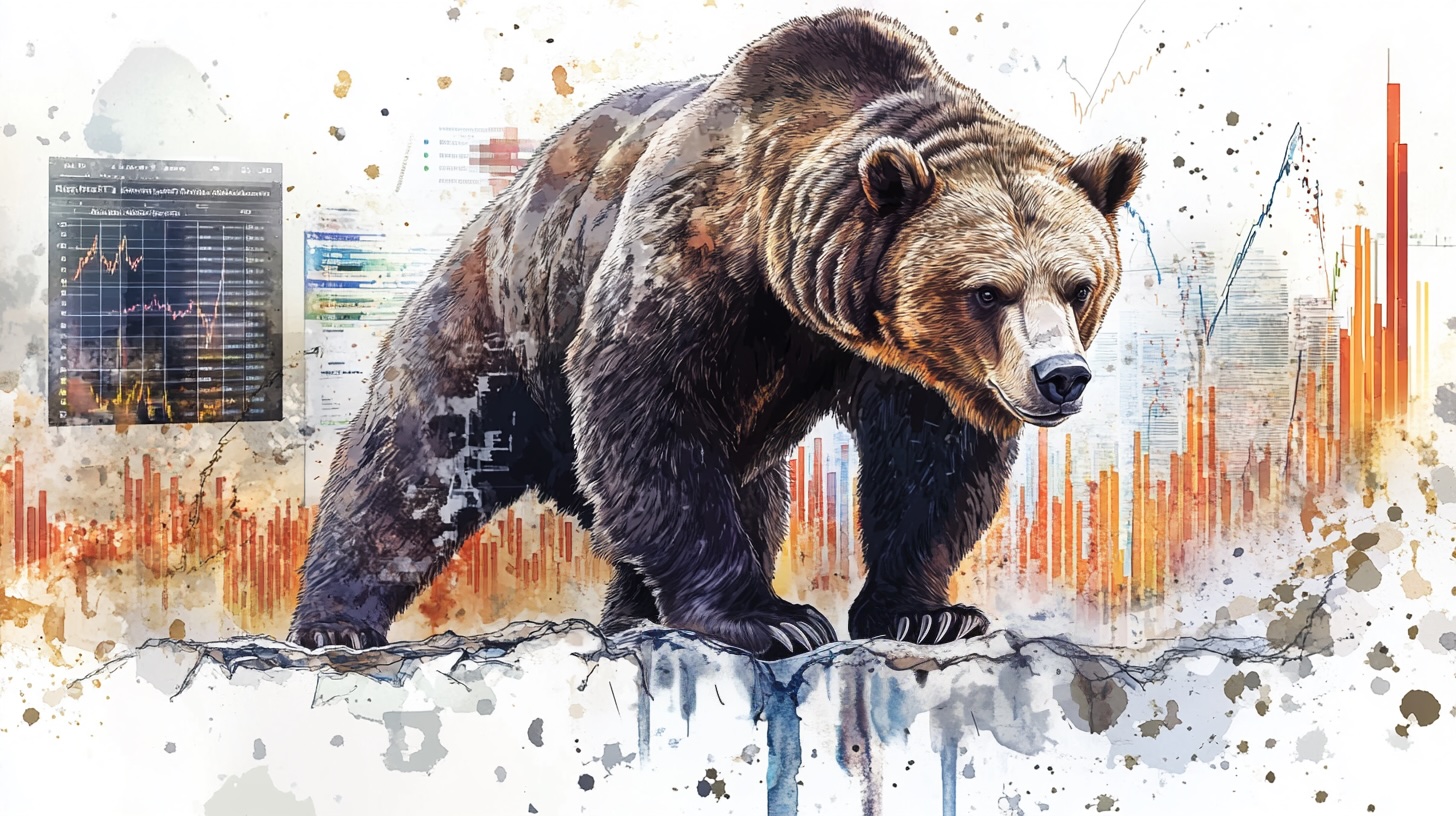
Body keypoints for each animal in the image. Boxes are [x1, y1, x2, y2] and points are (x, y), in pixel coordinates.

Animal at [287, 8, 1144, 659]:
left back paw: (632, 610)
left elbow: (931, 462)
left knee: (743, 497)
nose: (1060, 376)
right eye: (987, 291)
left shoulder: (910, 363)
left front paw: (927, 611)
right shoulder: (699, 260)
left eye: (1079, 285)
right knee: (414, 463)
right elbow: (647, 407)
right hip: (497, 317)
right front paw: (770, 618)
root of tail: (501, 203)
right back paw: (336, 623)